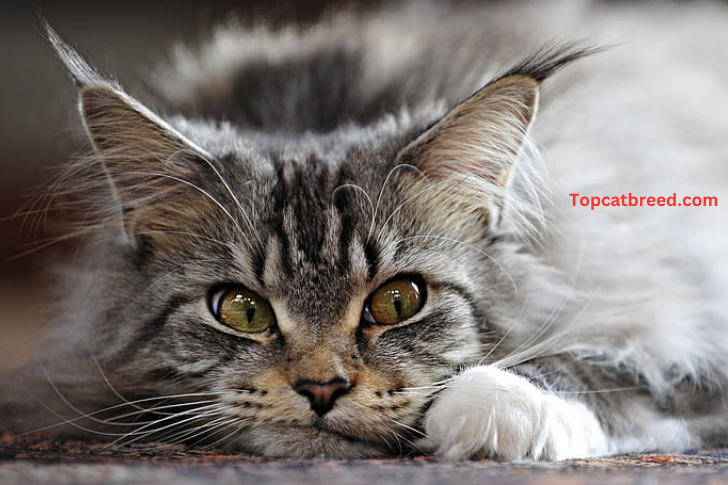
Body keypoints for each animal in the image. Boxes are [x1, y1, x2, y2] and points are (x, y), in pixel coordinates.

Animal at [1, 0, 728, 460]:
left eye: (399, 301)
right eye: (240, 309)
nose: (320, 389)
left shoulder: (676, 296)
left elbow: (613, 364)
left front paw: (497, 408)